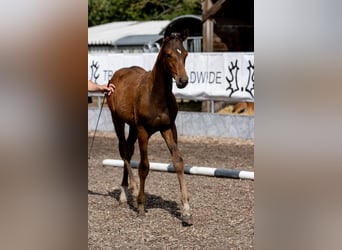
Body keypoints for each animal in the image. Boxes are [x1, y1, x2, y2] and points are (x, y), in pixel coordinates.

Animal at [106, 28, 191, 226]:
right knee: (124, 151)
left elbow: (178, 161)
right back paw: (128, 191)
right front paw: (141, 206)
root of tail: (116, 75)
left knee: (128, 150)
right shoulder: (144, 131)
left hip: (132, 126)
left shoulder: (169, 128)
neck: (156, 95)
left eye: (185, 54)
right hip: (118, 121)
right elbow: (144, 166)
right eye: (168, 55)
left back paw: (129, 188)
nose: (183, 80)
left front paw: (186, 210)